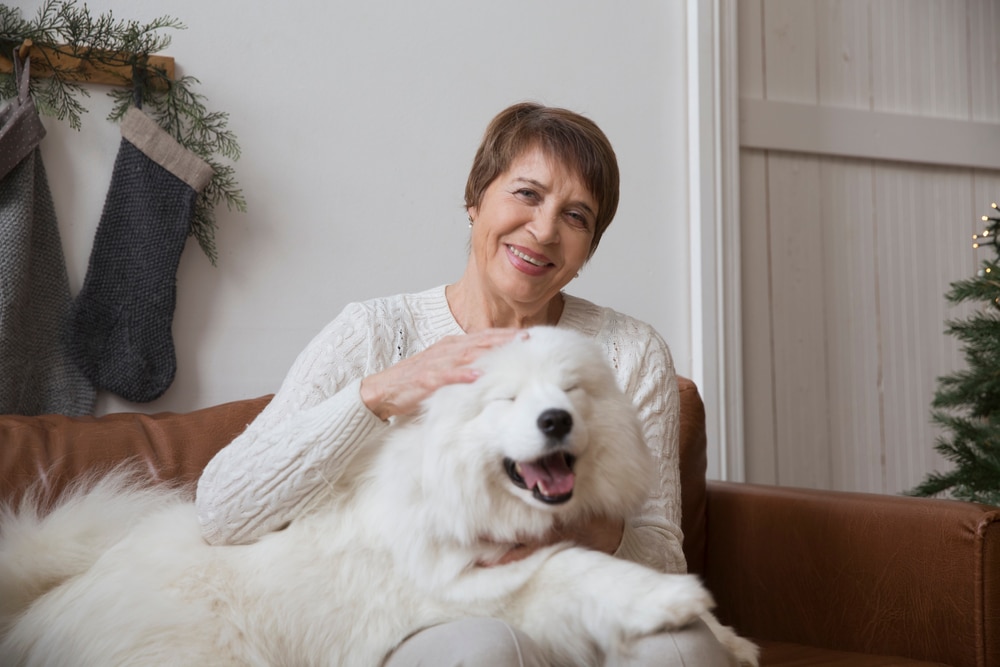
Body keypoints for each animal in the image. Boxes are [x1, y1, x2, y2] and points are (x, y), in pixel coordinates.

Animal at [0, 328, 756, 667]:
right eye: (507, 400)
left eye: (572, 392)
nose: (555, 421)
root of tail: (40, 608)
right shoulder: (480, 586)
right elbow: (581, 570)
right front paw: (671, 596)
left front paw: (733, 639)